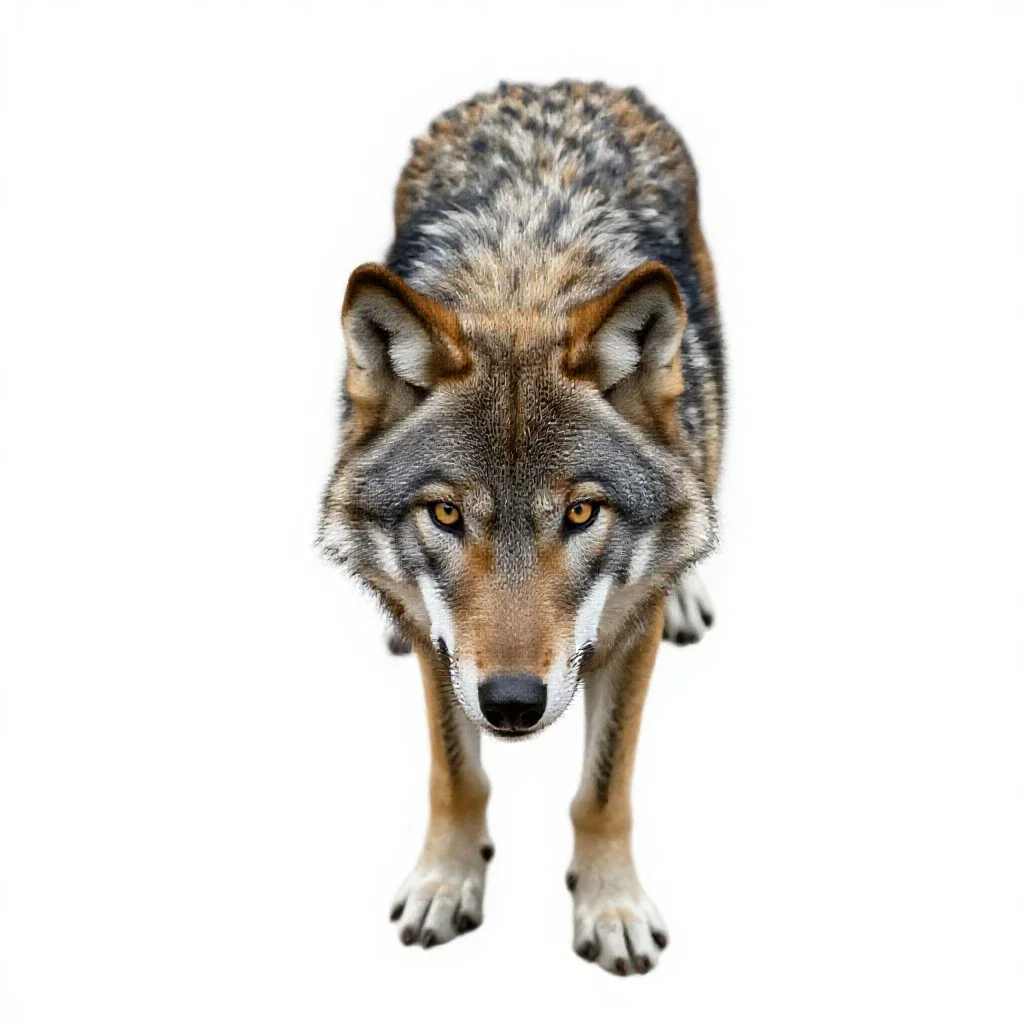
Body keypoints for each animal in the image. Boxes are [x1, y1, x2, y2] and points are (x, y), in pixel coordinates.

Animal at [319, 81, 725, 975]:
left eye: (580, 513)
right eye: (445, 513)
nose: (510, 704)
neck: (522, 279)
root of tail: (553, 85)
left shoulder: (626, 633)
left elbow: (603, 790)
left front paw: (612, 908)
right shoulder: (447, 650)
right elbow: (456, 774)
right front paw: (446, 881)